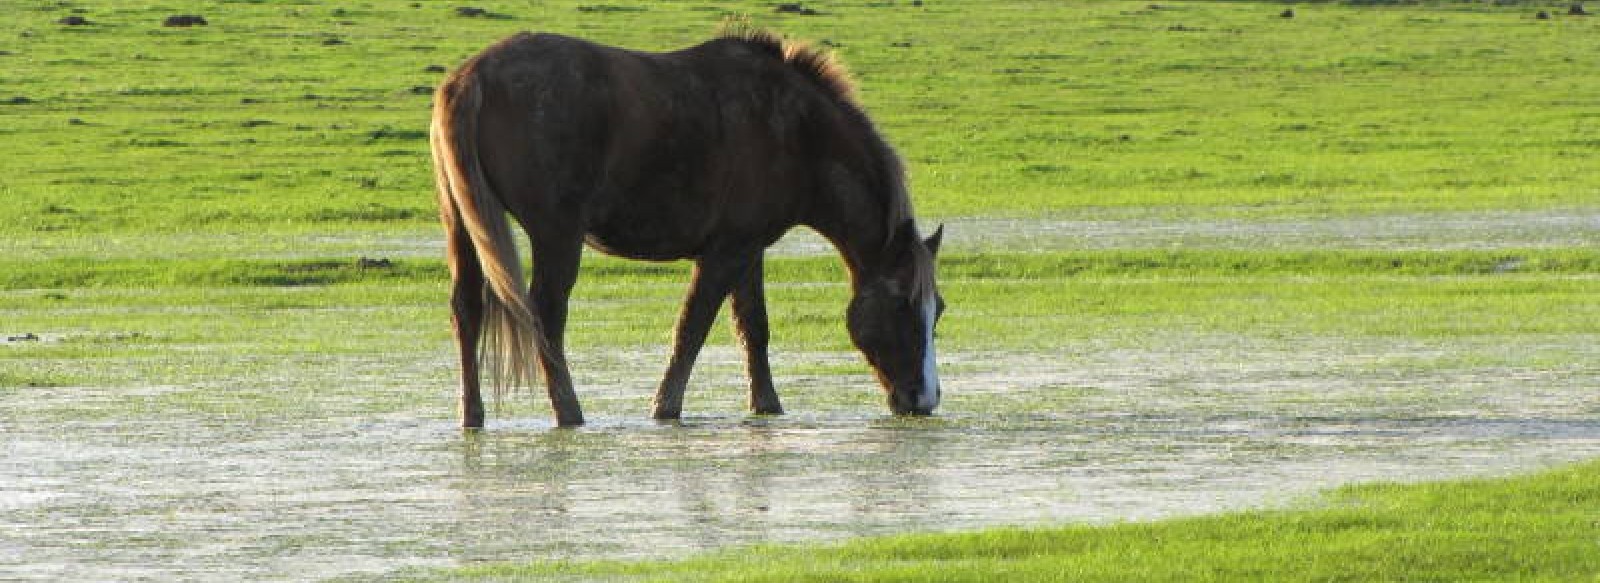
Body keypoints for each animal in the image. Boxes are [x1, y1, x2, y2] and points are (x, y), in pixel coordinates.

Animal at [432, 27, 940, 429]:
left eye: (939, 310)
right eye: (903, 305)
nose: (925, 399)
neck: (796, 132)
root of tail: (472, 77)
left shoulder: (749, 250)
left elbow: (754, 327)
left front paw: (767, 406)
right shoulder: (724, 253)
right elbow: (692, 329)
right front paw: (665, 408)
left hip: (463, 226)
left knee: (467, 310)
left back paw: (472, 416)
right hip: (556, 235)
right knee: (547, 317)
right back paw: (569, 412)